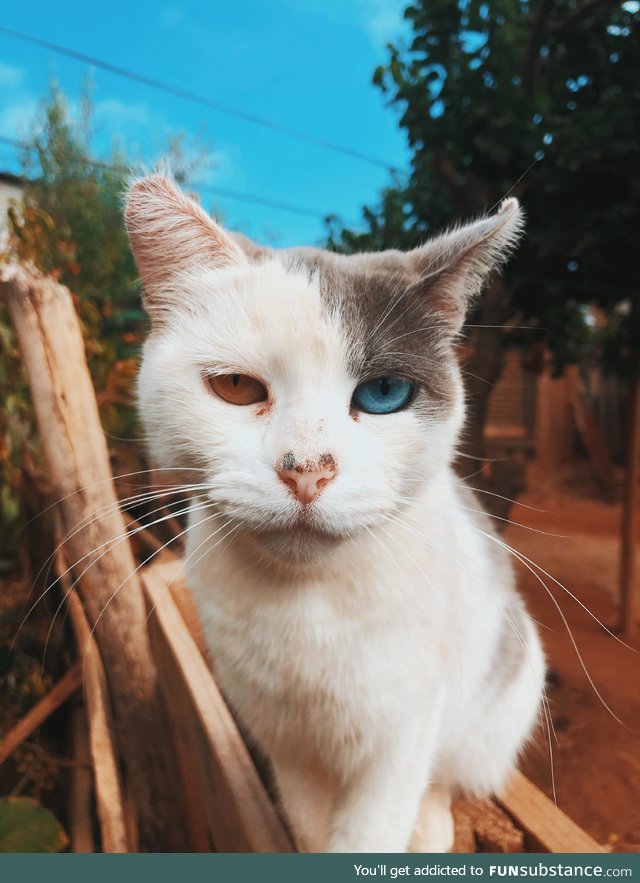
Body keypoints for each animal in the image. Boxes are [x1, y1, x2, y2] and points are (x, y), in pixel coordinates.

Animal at [125, 174, 544, 856]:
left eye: (383, 395)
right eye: (236, 387)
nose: (307, 470)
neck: (306, 607)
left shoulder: (401, 733)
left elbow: (376, 824)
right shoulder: (284, 744)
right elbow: (309, 824)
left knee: (445, 777)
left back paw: (431, 827)